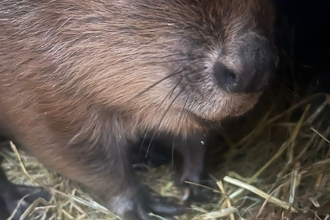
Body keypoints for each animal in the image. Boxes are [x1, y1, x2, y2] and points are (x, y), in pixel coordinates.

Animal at [0, 0, 278, 219]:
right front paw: (149, 205)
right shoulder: (42, 88)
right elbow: (78, 149)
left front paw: (194, 182)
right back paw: (19, 200)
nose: (254, 67)